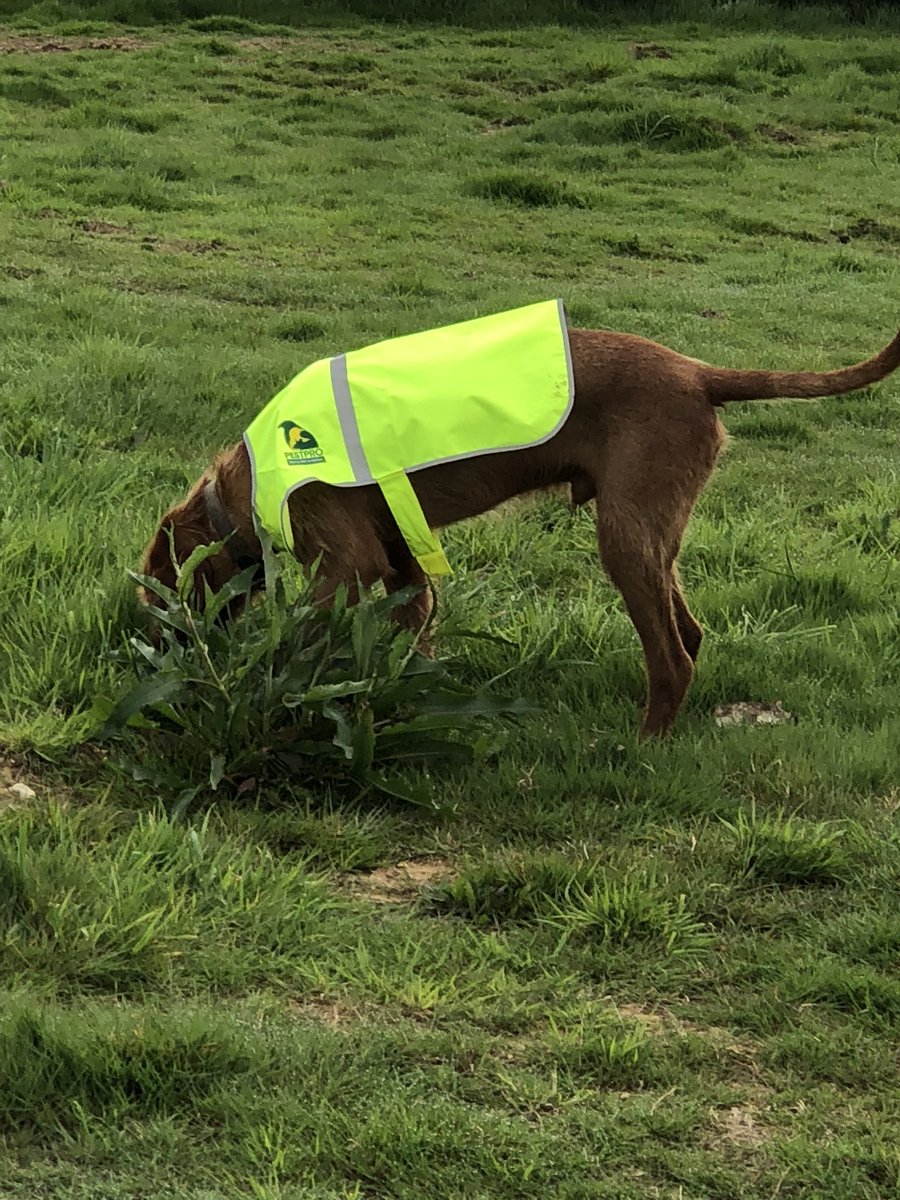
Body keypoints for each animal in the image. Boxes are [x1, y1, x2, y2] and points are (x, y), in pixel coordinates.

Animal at [142, 328, 900, 739]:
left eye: (157, 602)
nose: (153, 660)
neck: (239, 488)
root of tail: (698, 373)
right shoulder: (402, 561)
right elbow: (411, 635)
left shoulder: (346, 561)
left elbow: (305, 638)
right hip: (654, 537)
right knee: (689, 633)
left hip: (624, 538)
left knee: (671, 658)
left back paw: (642, 748)